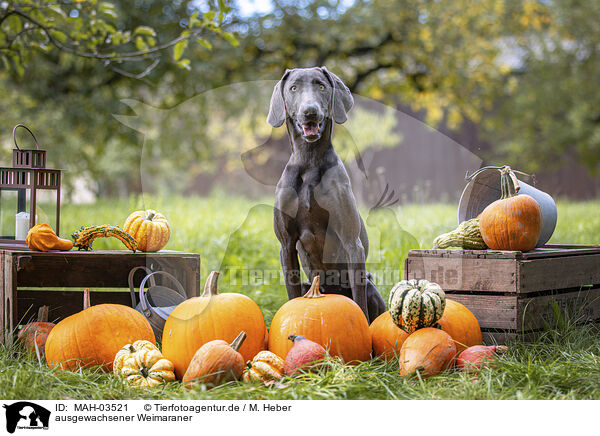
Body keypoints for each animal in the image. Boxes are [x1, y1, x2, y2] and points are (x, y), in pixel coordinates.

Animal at [266, 66, 384, 322]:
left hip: (370, 284)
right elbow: (291, 293)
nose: (310, 111)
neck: (309, 160)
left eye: (321, 85)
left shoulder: (352, 242)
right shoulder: (286, 244)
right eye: (293, 88)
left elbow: (359, 302)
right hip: (306, 282)